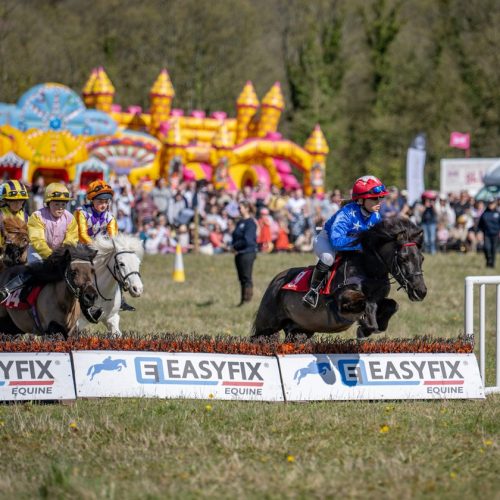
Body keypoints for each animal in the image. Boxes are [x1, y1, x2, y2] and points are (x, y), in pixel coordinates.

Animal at [252, 220, 428, 344]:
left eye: (422, 258)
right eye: (403, 258)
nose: (421, 291)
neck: (367, 269)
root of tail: (276, 282)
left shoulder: (380, 298)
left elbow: (392, 305)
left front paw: (373, 325)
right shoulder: (341, 301)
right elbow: (365, 301)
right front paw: (365, 326)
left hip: (300, 330)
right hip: (267, 325)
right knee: (257, 338)